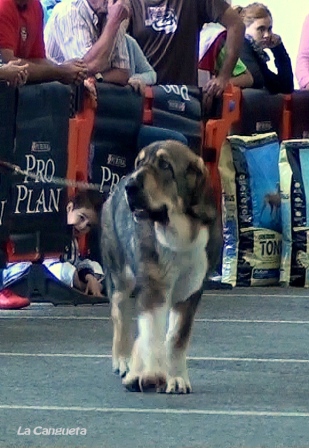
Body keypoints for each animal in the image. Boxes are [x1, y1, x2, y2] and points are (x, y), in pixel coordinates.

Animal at [100, 142, 219, 394]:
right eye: (139, 162)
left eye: (165, 165)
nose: (131, 185)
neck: (179, 236)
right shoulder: (154, 287)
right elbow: (152, 332)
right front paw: (153, 374)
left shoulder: (190, 292)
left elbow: (176, 337)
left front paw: (177, 378)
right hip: (120, 279)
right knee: (121, 318)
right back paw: (124, 362)